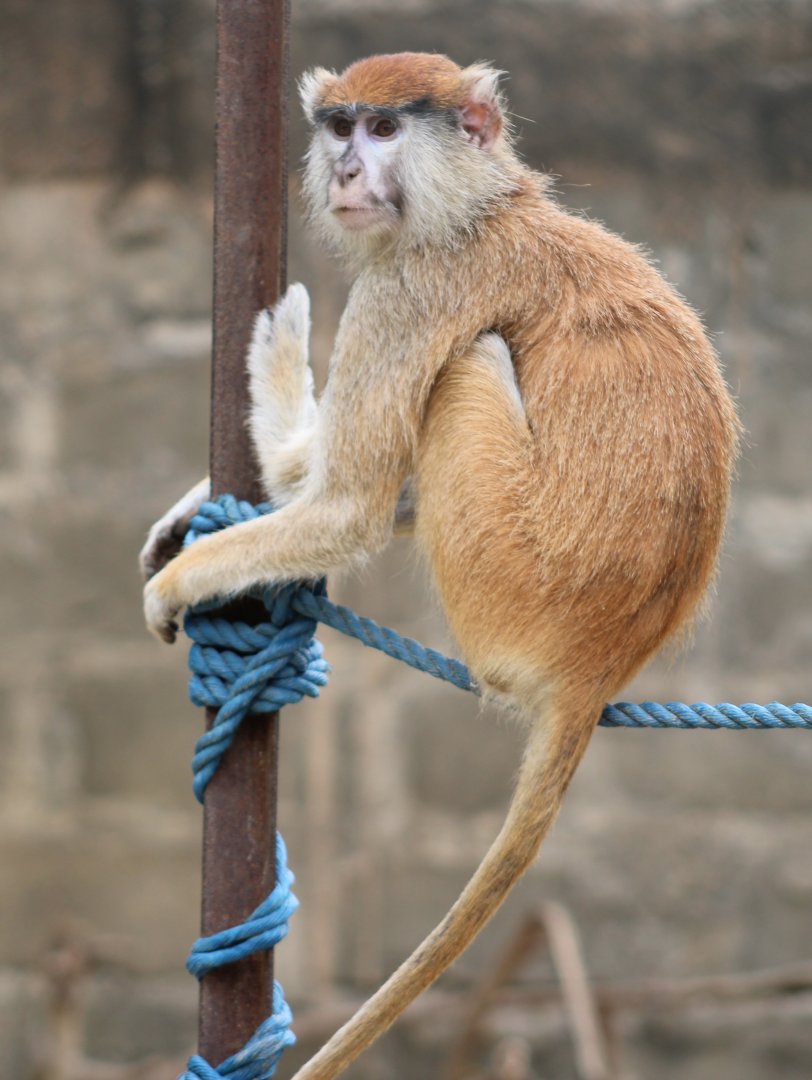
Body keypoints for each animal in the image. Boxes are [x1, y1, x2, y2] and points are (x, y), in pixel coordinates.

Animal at [141, 53, 739, 1079]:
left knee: (467, 365)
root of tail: (595, 665)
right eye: (338, 126)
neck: (477, 207)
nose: (347, 170)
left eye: (384, 129)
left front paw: (185, 570)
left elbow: (349, 506)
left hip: (504, 572)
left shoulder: (411, 291)